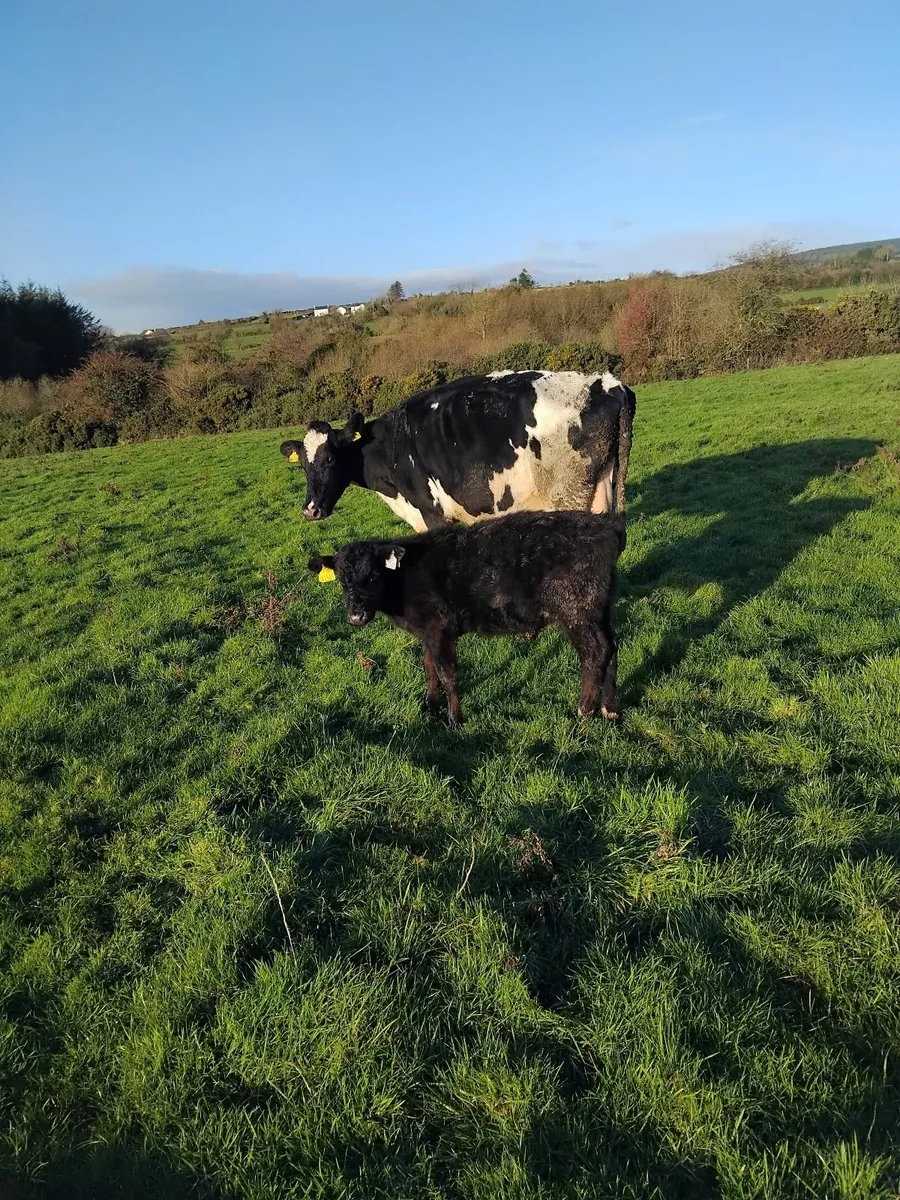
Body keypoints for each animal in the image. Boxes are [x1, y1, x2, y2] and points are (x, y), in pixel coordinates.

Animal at [281, 370, 635, 532]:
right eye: (304, 466)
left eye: (331, 459)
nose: (310, 510)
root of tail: (608, 383)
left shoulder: (433, 513)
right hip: (602, 488)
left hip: (567, 497)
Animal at [308, 509, 625, 726]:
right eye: (342, 580)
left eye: (373, 576)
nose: (356, 616)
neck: (404, 576)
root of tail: (605, 526)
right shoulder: (427, 631)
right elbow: (429, 666)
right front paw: (430, 703)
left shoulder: (439, 628)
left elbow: (447, 672)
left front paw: (454, 719)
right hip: (600, 610)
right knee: (611, 648)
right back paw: (610, 709)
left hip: (576, 611)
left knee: (595, 653)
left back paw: (584, 711)